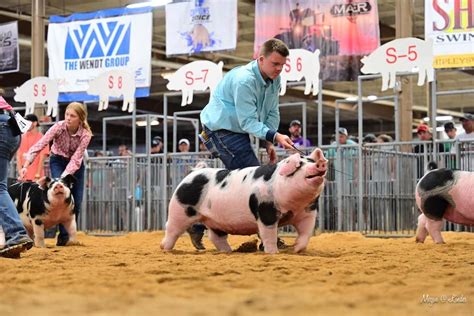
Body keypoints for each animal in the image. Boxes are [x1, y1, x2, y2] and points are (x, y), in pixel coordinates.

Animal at [161, 148, 328, 254]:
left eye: (311, 161)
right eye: (299, 165)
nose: (320, 164)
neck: (293, 206)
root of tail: (194, 173)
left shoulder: (307, 213)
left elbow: (306, 233)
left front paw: (297, 249)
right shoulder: (265, 211)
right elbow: (269, 235)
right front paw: (274, 253)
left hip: (214, 220)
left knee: (215, 236)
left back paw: (228, 251)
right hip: (179, 209)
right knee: (171, 229)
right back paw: (165, 248)